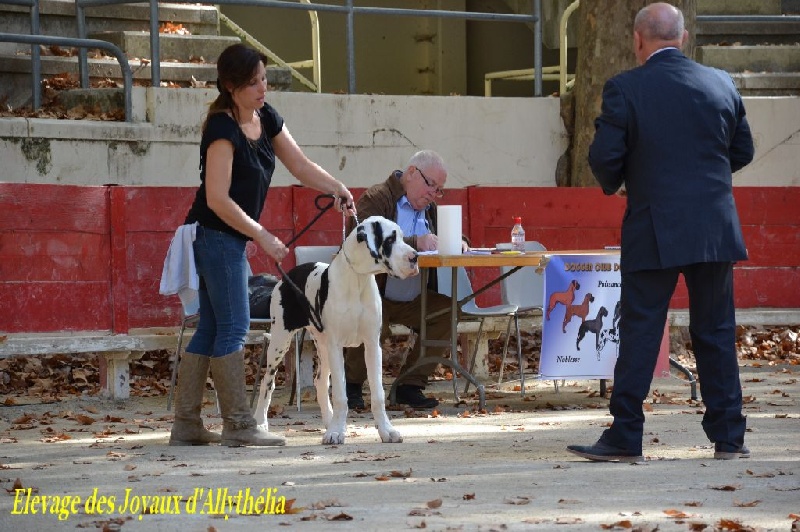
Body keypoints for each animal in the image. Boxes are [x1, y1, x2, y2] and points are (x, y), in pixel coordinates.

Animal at [252, 216, 419, 445]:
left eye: (402, 237)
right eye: (390, 239)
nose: (415, 257)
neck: (357, 279)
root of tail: (287, 276)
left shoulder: (372, 345)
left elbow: (377, 394)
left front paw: (386, 430)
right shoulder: (337, 345)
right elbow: (341, 394)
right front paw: (337, 432)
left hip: (323, 346)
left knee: (320, 381)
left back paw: (328, 421)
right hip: (280, 341)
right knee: (267, 382)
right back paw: (261, 422)